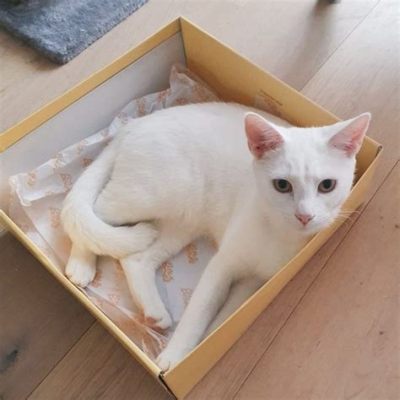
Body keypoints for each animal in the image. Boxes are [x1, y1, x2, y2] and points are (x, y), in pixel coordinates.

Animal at [61, 102, 370, 368]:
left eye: (327, 185)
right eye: (282, 185)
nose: (304, 216)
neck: (279, 233)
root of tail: (134, 124)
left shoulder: (254, 282)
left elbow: (226, 315)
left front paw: (207, 344)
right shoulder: (222, 265)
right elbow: (199, 312)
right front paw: (176, 356)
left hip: (182, 219)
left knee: (136, 259)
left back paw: (154, 310)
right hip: (147, 196)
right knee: (86, 212)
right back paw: (81, 265)